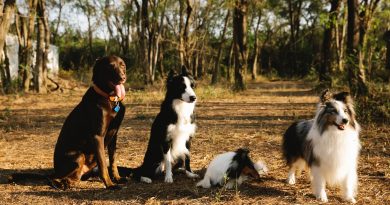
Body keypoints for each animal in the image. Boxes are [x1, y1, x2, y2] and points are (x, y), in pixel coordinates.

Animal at [11, 55, 126, 190]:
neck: (110, 98)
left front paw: (117, 178)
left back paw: (70, 182)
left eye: (122, 65)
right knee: (53, 178)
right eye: (110, 66)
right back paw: (62, 184)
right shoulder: (98, 136)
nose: (123, 77)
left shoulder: (114, 134)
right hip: (78, 156)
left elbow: (113, 160)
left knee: (73, 177)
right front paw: (109, 184)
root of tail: (55, 171)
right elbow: (103, 164)